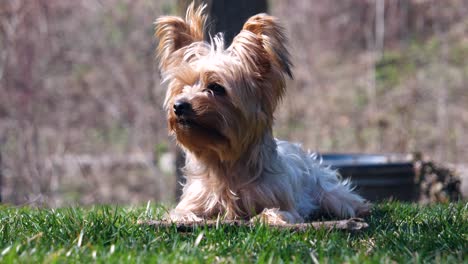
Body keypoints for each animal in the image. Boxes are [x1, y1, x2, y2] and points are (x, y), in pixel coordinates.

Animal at [156, 3, 370, 223]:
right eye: (182, 87)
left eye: (216, 87)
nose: (179, 105)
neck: (225, 163)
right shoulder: (194, 200)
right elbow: (180, 213)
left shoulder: (283, 204)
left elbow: (273, 212)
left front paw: (264, 217)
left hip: (327, 191)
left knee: (343, 200)